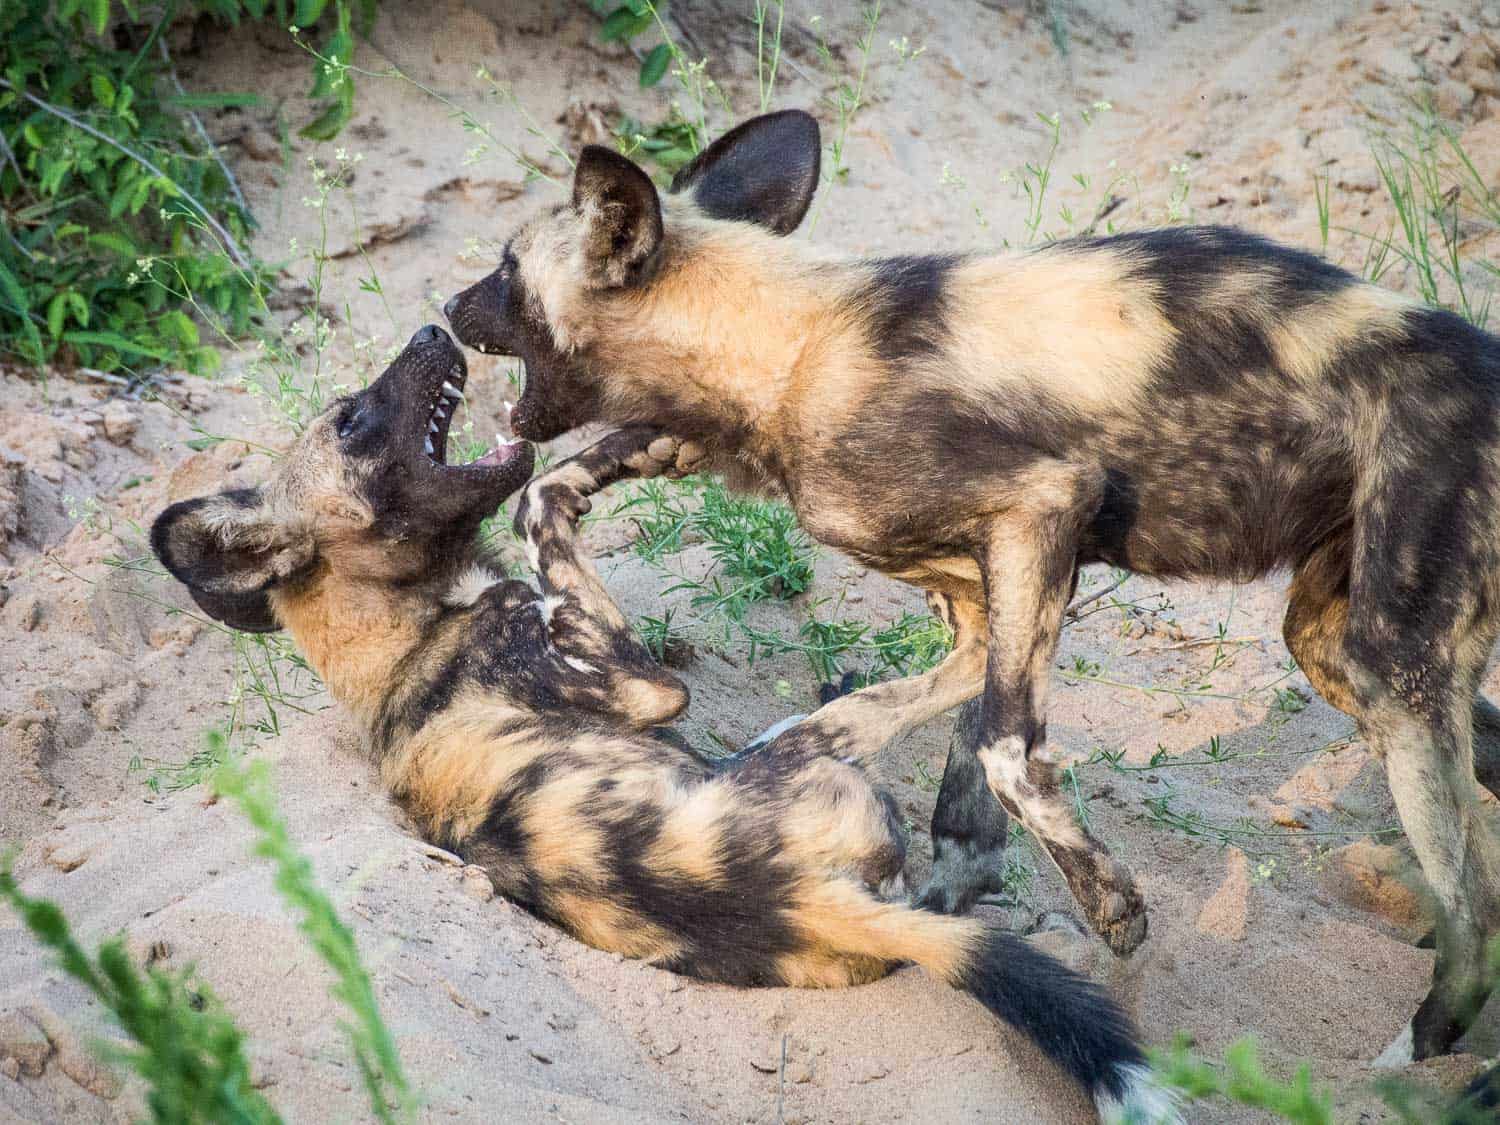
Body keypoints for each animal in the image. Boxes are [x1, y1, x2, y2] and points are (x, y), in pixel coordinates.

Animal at [149, 324, 1182, 1122]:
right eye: (352, 421)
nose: (431, 329)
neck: (403, 635)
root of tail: (812, 899)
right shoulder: (641, 688)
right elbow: (559, 537)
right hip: (799, 764)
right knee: (951, 688)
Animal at [438, 112, 1500, 1068]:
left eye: (506, 271)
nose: (446, 310)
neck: (794, 344)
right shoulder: (987, 585)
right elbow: (552, 500)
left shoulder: (1042, 511)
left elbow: (999, 747)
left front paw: (1111, 906)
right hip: (1334, 645)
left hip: (1391, 663)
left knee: (1475, 912)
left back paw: (1417, 1057)